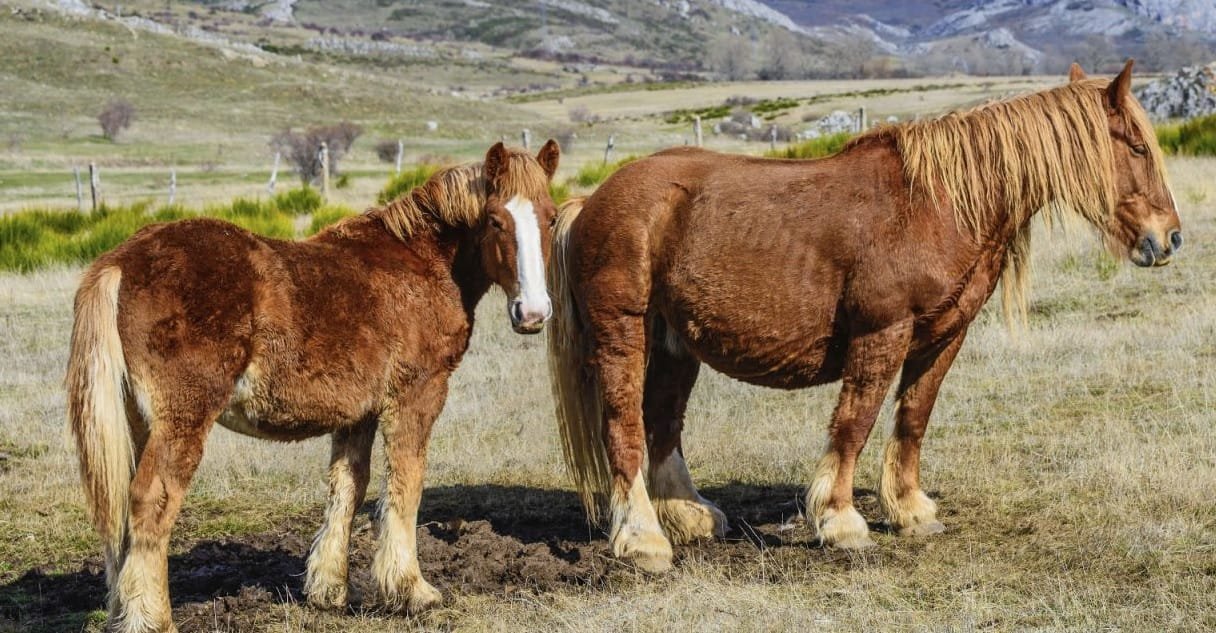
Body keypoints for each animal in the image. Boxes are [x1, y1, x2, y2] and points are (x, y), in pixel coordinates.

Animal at [66, 140, 559, 626]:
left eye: (551, 217)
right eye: (495, 220)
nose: (533, 313)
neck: (423, 263)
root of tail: (120, 262)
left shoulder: (359, 414)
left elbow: (348, 487)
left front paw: (329, 590)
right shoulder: (417, 396)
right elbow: (405, 484)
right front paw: (411, 591)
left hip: (138, 421)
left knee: (123, 512)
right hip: (182, 419)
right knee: (151, 501)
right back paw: (153, 617)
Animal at [549, 61, 1177, 571]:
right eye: (1138, 148)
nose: (1168, 238)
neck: (937, 205)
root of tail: (590, 202)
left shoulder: (943, 336)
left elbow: (913, 418)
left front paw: (910, 510)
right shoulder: (883, 332)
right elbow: (856, 421)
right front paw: (840, 519)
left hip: (674, 341)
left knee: (663, 424)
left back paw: (689, 515)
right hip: (623, 331)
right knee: (625, 427)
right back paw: (644, 538)